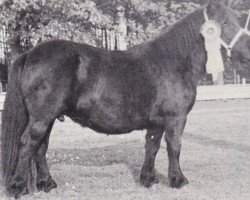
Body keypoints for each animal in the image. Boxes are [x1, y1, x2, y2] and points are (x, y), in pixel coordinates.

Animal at [0, 0, 250, 198]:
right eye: (224, 23)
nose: (247, 53)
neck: (174, 62)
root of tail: (29, 54)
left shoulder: (156, 122)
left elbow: (152, 147)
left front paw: (148, 179)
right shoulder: (175, 119)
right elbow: (174, 147)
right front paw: (178, 181)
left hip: (49, 117)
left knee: (40, 147)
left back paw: (47, 184)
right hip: (42, 117)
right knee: (28, 143)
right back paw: (18, 187)